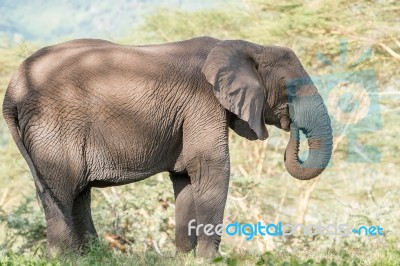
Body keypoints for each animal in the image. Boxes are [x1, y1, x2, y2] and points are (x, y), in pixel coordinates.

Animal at [2, 36, 332, 256]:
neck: (248, 46)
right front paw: (209, 259)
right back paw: (64, 258)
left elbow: (185, 177)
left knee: (75, 193)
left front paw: (185, 257)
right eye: (291, 87)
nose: (292, 127)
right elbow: (211, 168)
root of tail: (12, 89)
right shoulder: (203, 102)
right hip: (53, 127)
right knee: (62, 190)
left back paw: (91, 257)